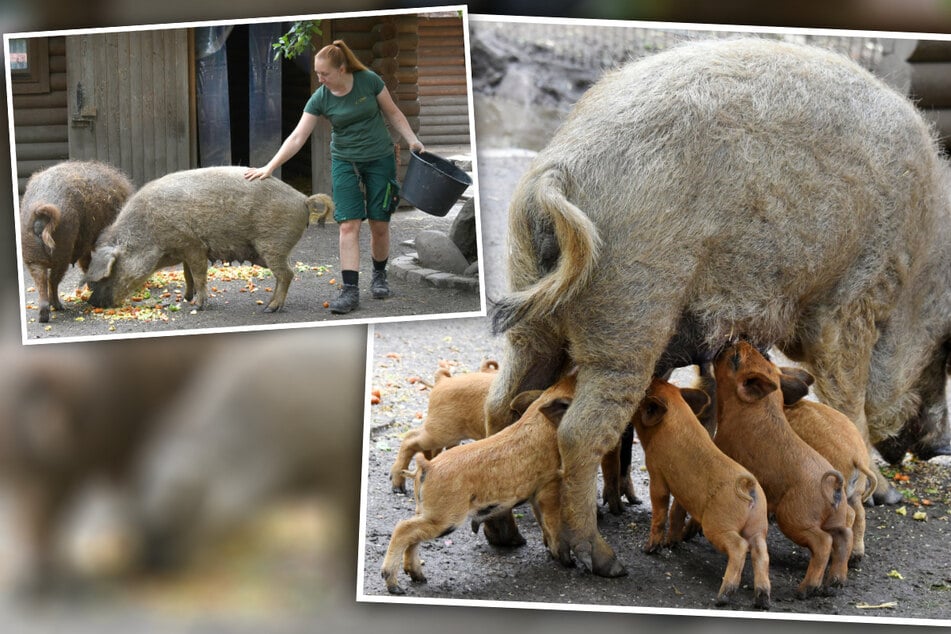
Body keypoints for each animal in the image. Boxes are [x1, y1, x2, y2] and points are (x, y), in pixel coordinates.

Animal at [17, 160, 133, 324]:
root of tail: (40, 211)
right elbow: (87, 264)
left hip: (32, 255)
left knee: (42, 281)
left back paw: (45, 314)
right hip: (61, 252)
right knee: (52, 281)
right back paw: (60, 307)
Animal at [82, 164, 334, 310]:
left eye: (104, 276)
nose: (93, 303)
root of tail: (304, 199)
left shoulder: (194, 245)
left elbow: (199, 274)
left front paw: (199, 306)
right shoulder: (185, 249)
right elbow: (187, 275)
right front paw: (186, 298)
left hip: (273, 244)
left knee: (287, 274)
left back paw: (270, 308)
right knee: (285, 273)